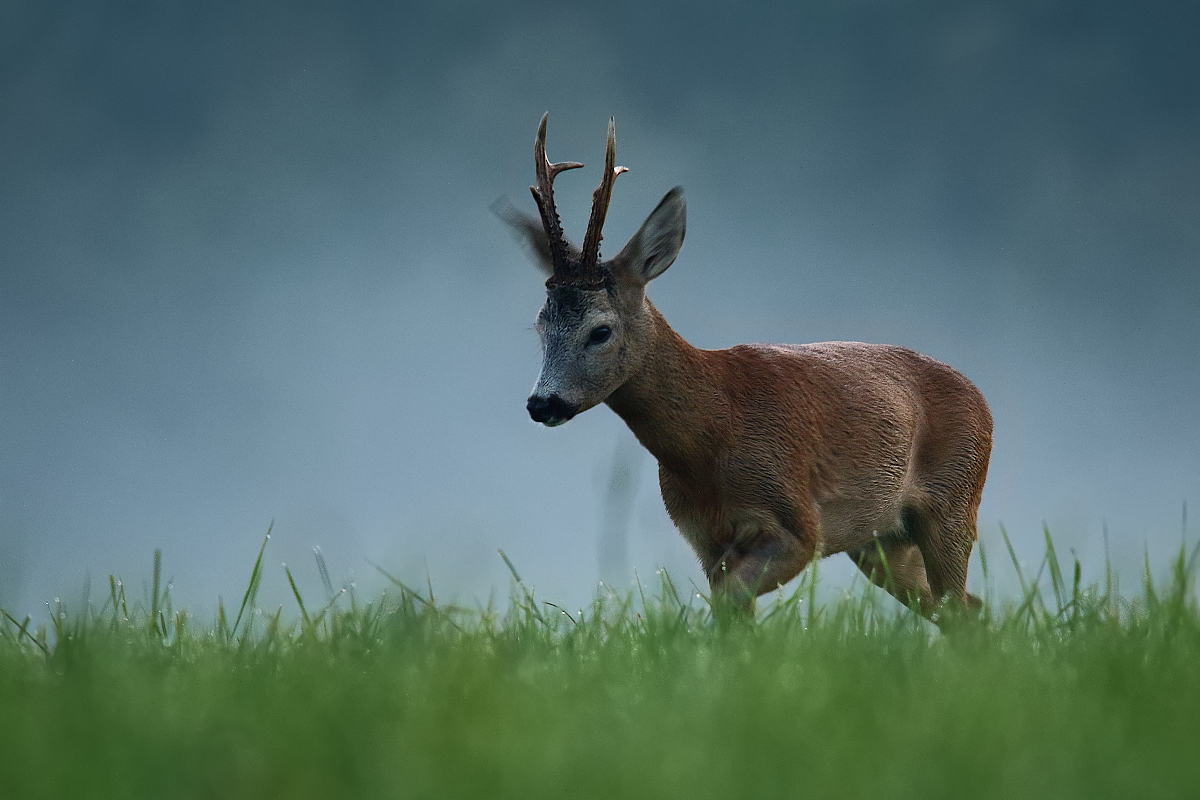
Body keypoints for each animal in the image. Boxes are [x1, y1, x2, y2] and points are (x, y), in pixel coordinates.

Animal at [496, 113, 993, 623]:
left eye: (600, 331)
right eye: (541, 323)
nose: (542, 403)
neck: (712, 435)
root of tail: (980, 397)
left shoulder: (798, 521)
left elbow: (734, 600)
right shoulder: (706, 541)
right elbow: (730, 615)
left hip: (954, 500)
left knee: (961, 603)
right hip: (883, 542)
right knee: (965, 607)